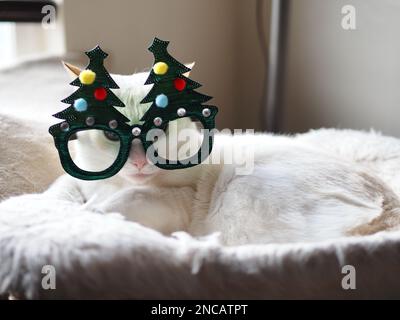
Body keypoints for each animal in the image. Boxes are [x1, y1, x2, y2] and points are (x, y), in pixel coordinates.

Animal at [26, 62, 400, 246]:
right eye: (109, 134)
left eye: (158, 128)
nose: (140, 161)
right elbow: (79, 196)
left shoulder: (174, 197)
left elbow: (108, 206)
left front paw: (94, 212)